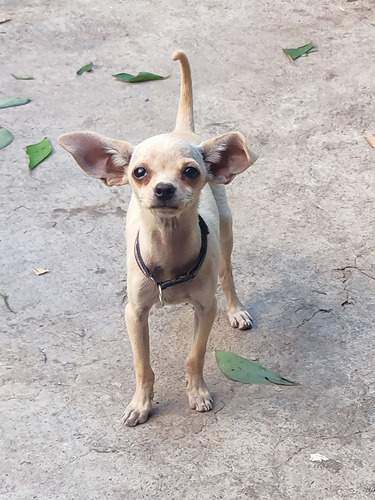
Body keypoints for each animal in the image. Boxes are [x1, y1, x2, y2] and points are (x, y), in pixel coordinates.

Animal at [58, 49, 258, 426]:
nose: (164, 189)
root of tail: (183, 130)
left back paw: (237, 309)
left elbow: (194, 356)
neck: (168, 251)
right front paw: (142, 403)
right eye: (139, 172)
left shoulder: (205, 309)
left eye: (191, 172)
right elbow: (143, 365)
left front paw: (197, 392)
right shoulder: (134, 313)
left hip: (226, 234)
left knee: (227, 273)